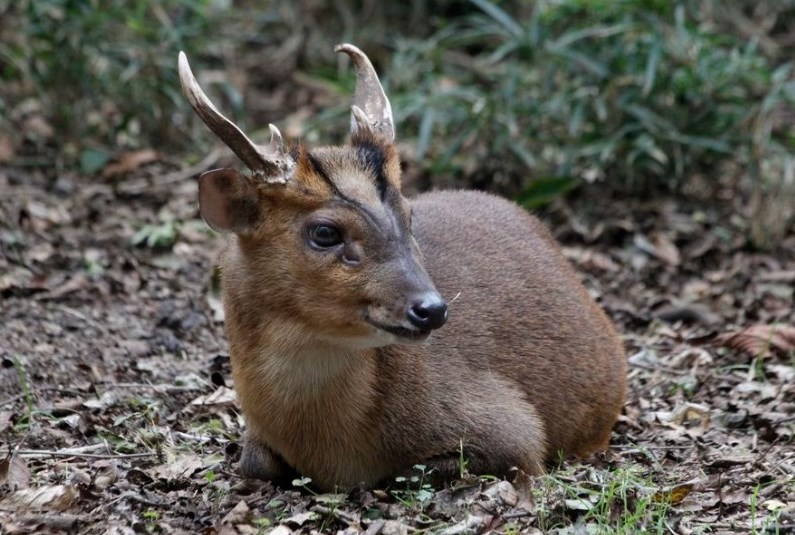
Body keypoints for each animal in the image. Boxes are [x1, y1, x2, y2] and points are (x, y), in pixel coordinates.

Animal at [177, 44, 624, 492]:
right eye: (325, 232)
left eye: (408, 216)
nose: (432, 309)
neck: (328, 450)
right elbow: (254, 462)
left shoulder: (516, 431)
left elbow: (405, 473)